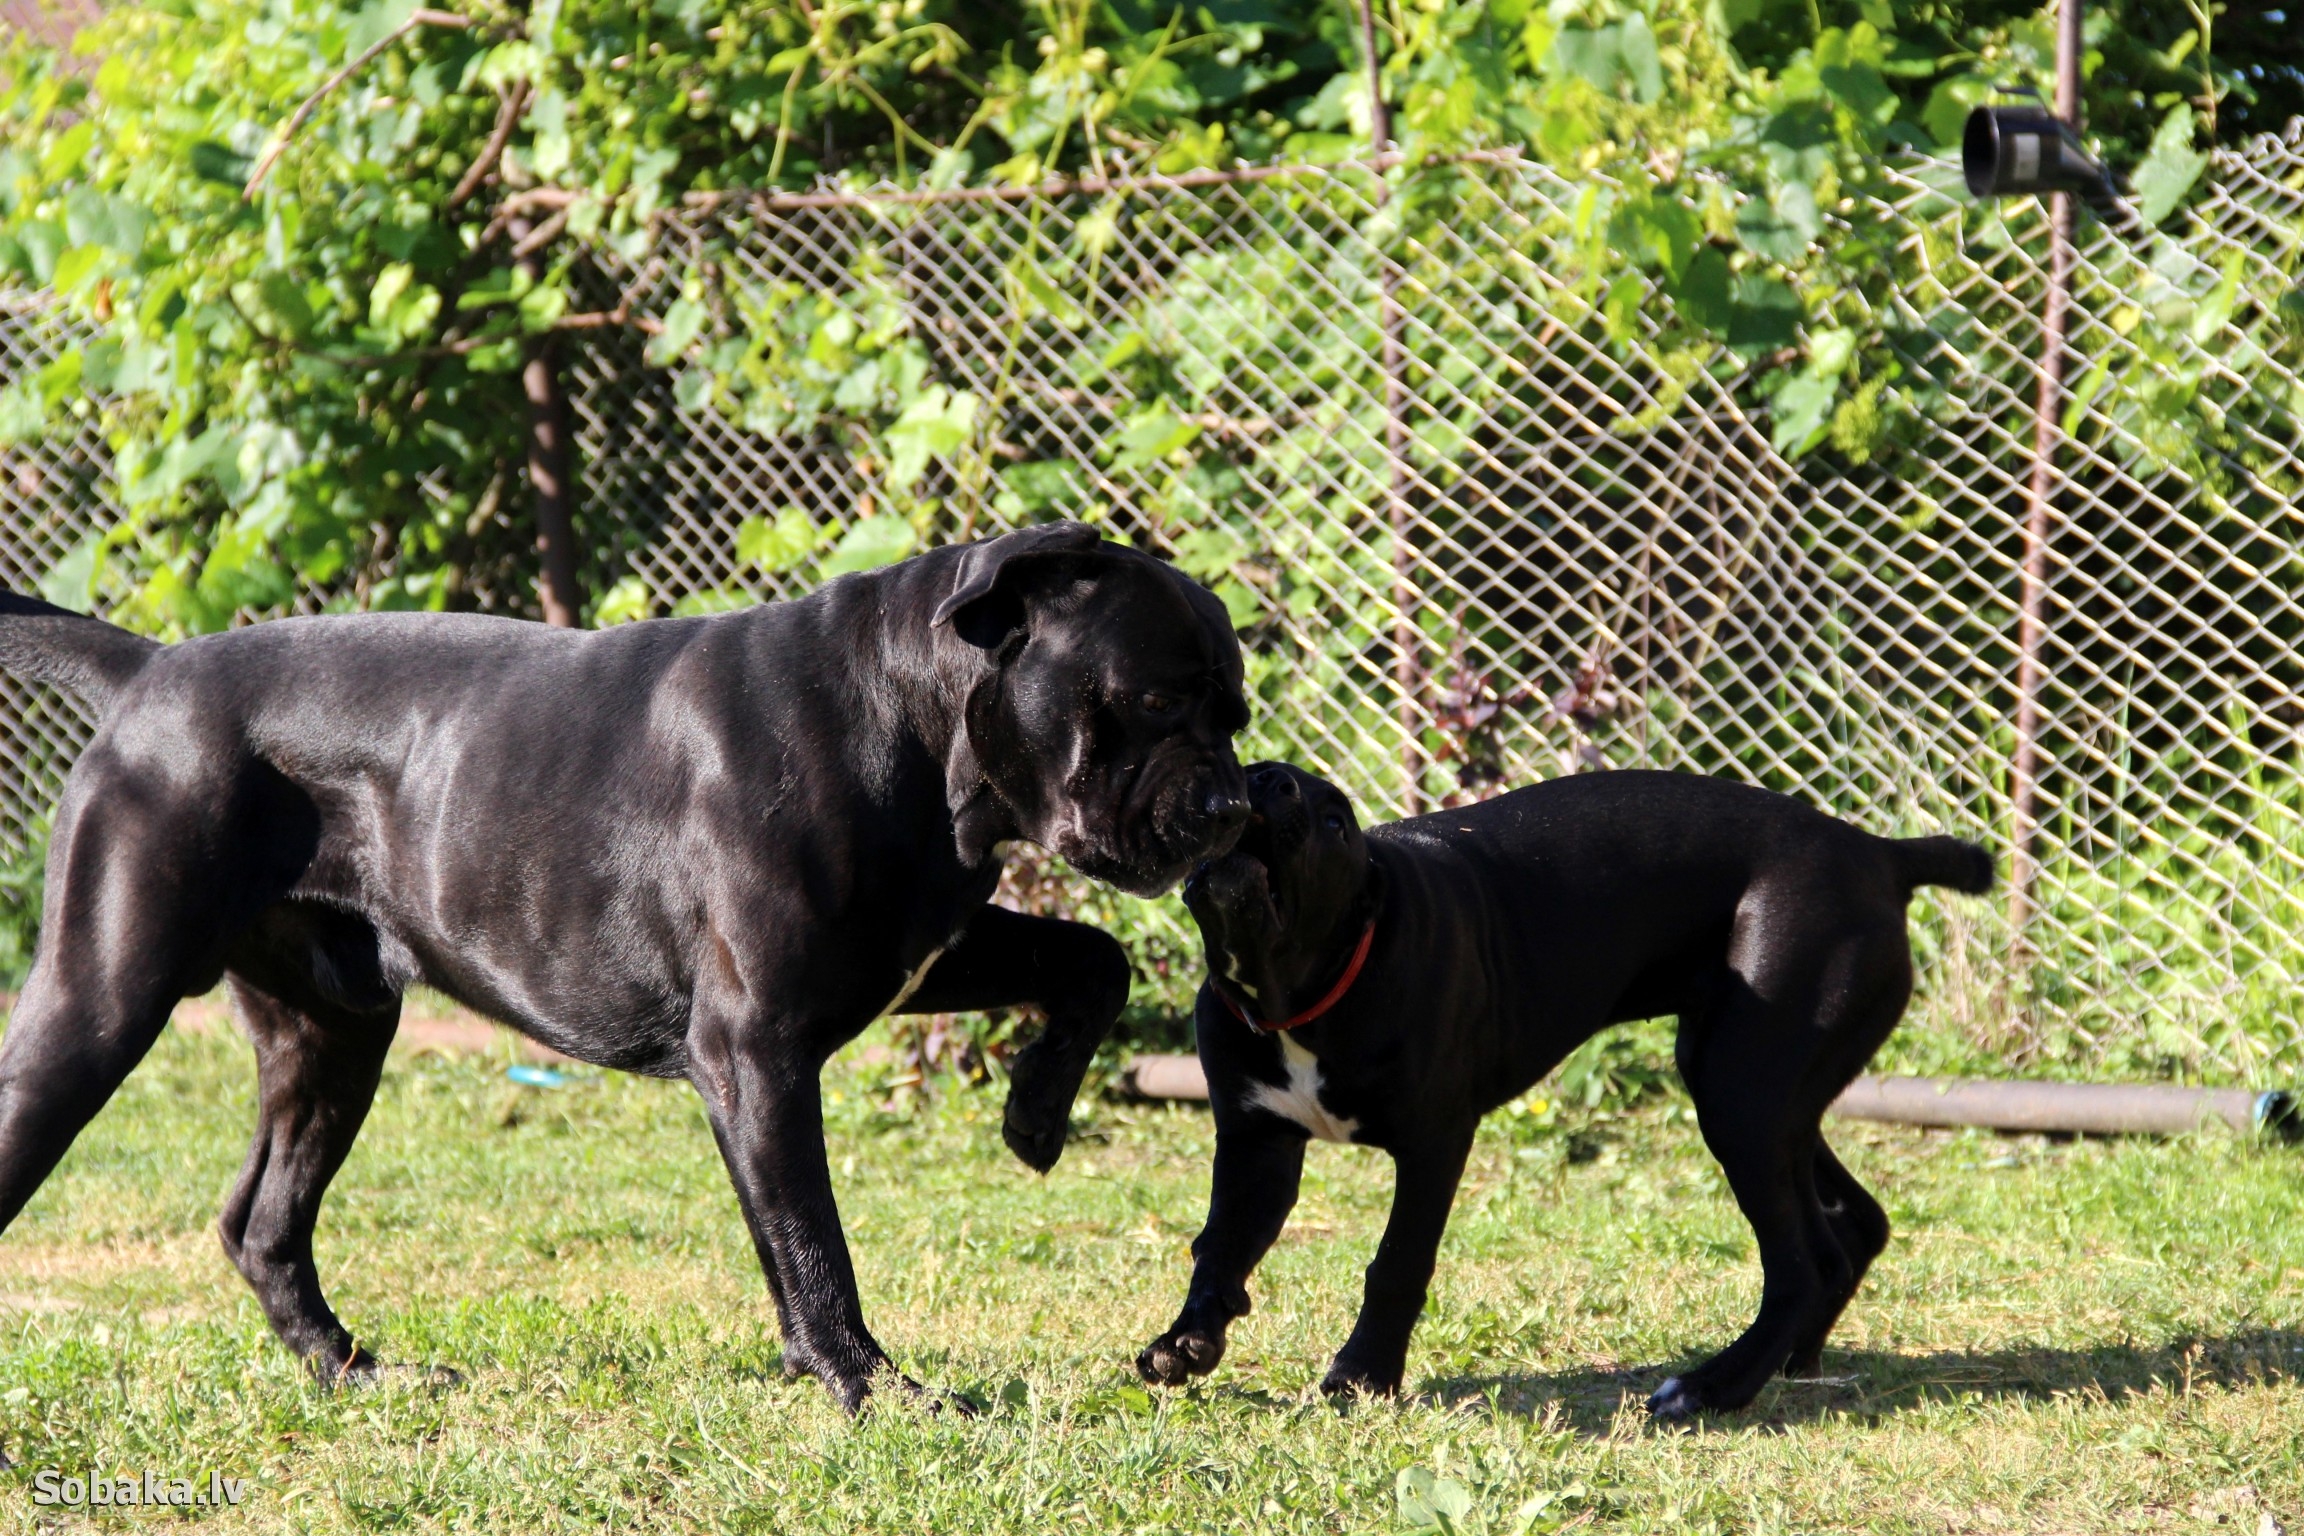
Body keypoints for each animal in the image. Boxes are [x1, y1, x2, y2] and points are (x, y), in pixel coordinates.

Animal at [0, 522, 1253, 1409]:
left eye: (1235, 711)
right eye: (1154, 699)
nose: (1232, 804)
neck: (911, 720)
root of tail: (150, 671)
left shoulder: (925, 947)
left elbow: (1092, 956)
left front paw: (1035, 1116)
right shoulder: (755, 1050)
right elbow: (811, 1238)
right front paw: (872, 1387)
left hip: (334, 1036)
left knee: (263, 1223)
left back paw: (356, 1371)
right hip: (99, 1003)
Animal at [1142, 764, 1990, 1427]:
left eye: (1334, 819)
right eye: (1250, 769)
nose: (1267, 783)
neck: (1301, 992)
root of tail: (1878, 853)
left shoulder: (1433, 1143)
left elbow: (1397, 1263)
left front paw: (1363, 1376)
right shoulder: (1255, 1142)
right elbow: (1220, 1243)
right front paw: (1185, 1341)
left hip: (1744, 1094)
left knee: (1800, 1264)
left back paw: (1710, 1389)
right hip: (1762, 1090)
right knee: (1854, 1225)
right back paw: (1791, 1361)